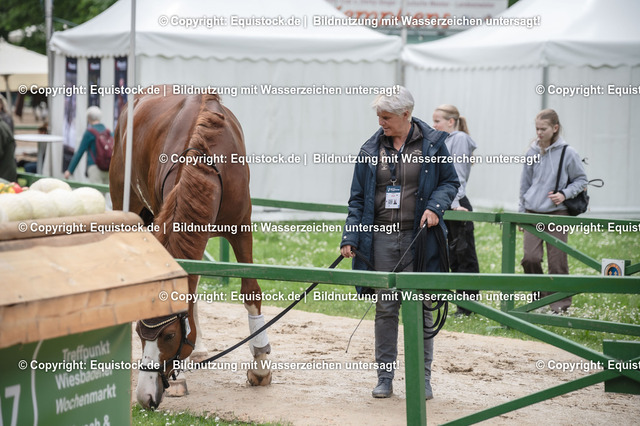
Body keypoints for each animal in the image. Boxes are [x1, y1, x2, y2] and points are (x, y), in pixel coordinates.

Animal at [109, 87, 272, 409]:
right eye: (139, 332)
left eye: (170, 335)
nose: (145, 396)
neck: (207, 161)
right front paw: (180, 377)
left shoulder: (242, 227)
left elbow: (250, 290)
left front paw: (261, 363)